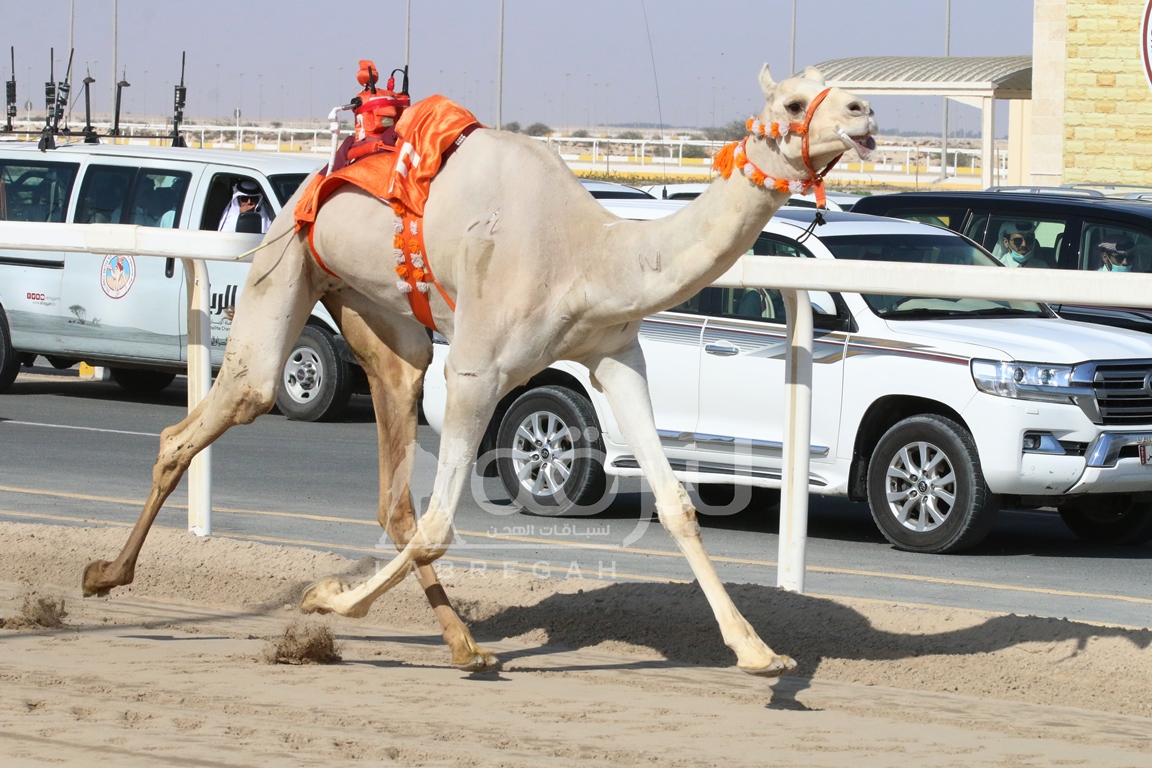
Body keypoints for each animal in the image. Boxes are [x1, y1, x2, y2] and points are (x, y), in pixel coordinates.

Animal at [83, 67, 870, 677]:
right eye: (794, 102)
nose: (865, 113)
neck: (590, 255)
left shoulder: (615, 355)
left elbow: (676, 504)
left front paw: (759, 653)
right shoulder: (476, 368)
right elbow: (439, 526)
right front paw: (323, 599)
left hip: (380, 317)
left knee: (392, 483)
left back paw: (466, 645)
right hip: (289, 260)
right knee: (220, 411)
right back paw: (104, 575)